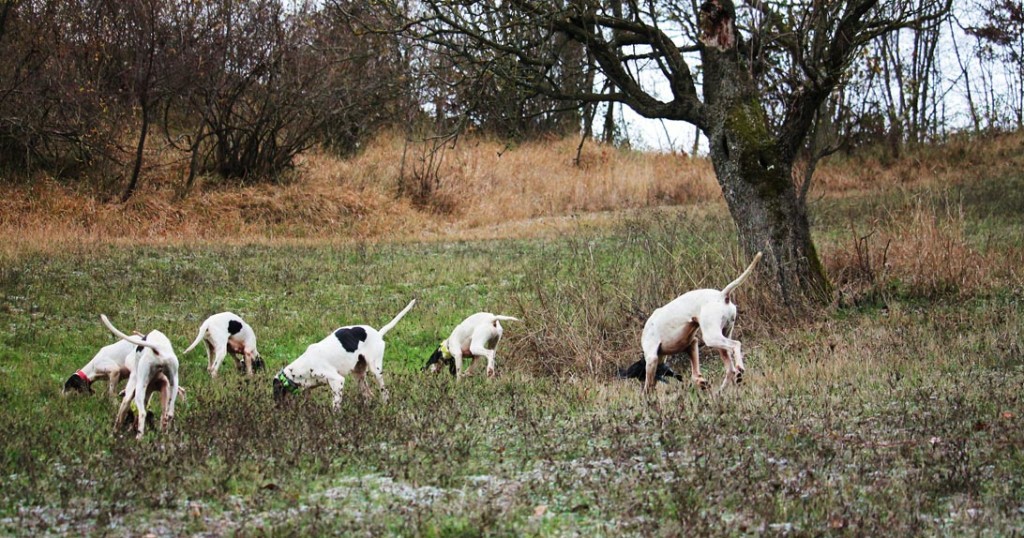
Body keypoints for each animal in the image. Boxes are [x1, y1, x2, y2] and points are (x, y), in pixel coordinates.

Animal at [276, 297, 415, 407]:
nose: (277, 407)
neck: (303, 365)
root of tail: (377, 333)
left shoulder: (337, 381)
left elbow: (335, 406)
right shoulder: (308, 387)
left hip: (375, 371)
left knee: (384, 392)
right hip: (358, 374)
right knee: (368, 394)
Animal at [638, 252, 761, 389]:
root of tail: (722, 296)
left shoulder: (651, 358)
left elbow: (648, 385)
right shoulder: (692, 345)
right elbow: (695, 374)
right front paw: (700, 382)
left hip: (711, 337)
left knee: (736, 345)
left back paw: (739, 368)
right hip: (722, 341)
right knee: (730, 370)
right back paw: (722, 389)